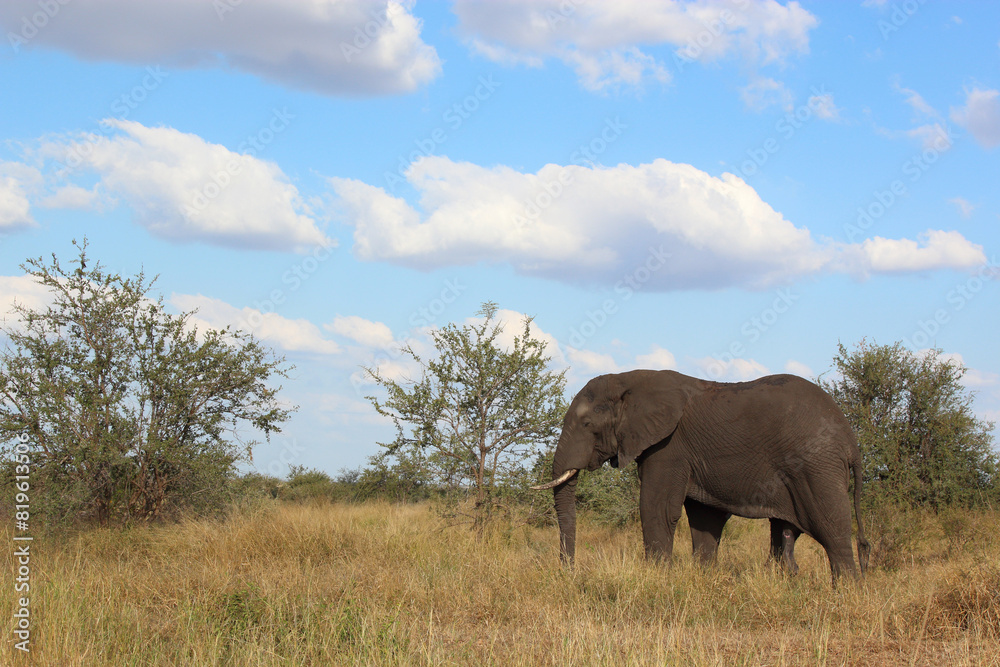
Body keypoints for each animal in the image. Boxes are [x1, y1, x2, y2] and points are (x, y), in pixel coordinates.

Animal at [533, 370, 870, 581]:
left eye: (587, 424)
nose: (570, 573)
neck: (629, 379)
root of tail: (851, 441)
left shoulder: (669, 447)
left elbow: (657, 508)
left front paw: (656, 578)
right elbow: (705, 518)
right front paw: (703, 578)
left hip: (817, 467)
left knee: (832, 529)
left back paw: (846, 592)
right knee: (784, 532)